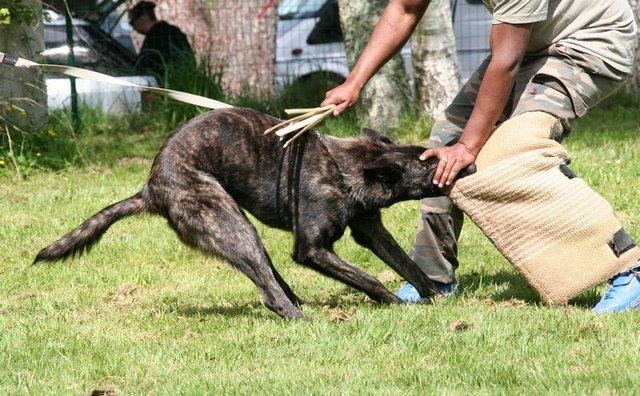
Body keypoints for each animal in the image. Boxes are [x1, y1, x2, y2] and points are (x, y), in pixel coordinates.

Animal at [36, 106, 476, 318]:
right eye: (432, 164)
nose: (469, 163)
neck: (346, 166)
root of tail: (150, 188)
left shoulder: (370, 230)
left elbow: (408, 265)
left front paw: (432, 300)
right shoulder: (313, 249)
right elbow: (367, 277)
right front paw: (396, 306)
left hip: (240, 228)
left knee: (270, 277)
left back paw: (298, 303)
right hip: (230, 224)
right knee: (269, 292)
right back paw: (299, 319)